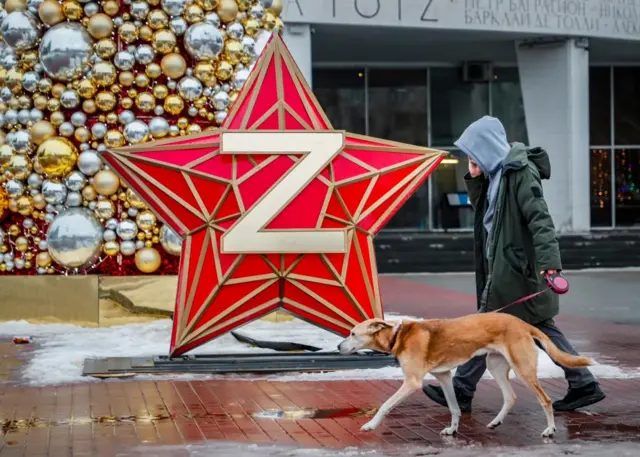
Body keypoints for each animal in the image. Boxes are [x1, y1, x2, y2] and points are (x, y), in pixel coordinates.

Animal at [338, 312, 592, 436]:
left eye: (352, 333)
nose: (338, 347)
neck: (398, 336)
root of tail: (523, 324)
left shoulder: (412, 382)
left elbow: (385, 405)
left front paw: (370, 425)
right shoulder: (444, 377)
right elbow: (454, 407)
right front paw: (453, 429)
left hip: (523, 370)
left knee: (545, 399)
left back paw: (550, 430)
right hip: (495, 366)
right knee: (510, 397)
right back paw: (496, 422)